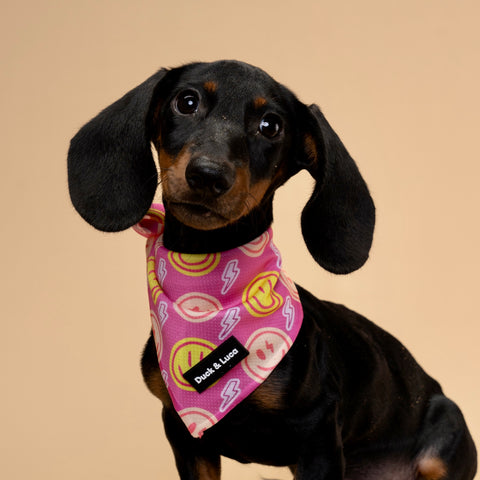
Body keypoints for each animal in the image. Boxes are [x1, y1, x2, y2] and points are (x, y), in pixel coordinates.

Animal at [67, 61, 476, 480]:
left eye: (270, 126)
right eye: (186, 102)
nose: (208, 175)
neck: (206, 294)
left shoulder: (318, 437)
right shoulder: (184, 436)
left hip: (444, 437)